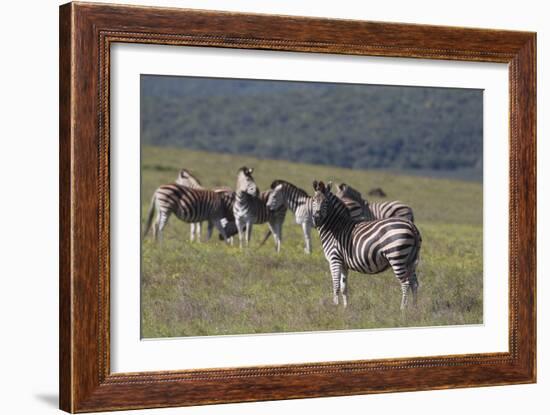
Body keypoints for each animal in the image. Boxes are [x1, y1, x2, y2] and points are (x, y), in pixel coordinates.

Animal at [312, 180, 424, 310]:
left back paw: (402, 309)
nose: (316, 219)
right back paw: (414, 308)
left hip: (397, 257)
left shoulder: (334, 259)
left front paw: (335, 307)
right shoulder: (343, 263)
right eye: (313, 200)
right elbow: (344, 287)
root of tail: (411, 226)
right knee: (414, 283)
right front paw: (345, 308)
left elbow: (336, 286)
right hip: (410, 260)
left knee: (405, 283)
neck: (335, 227)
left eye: (326, 202)